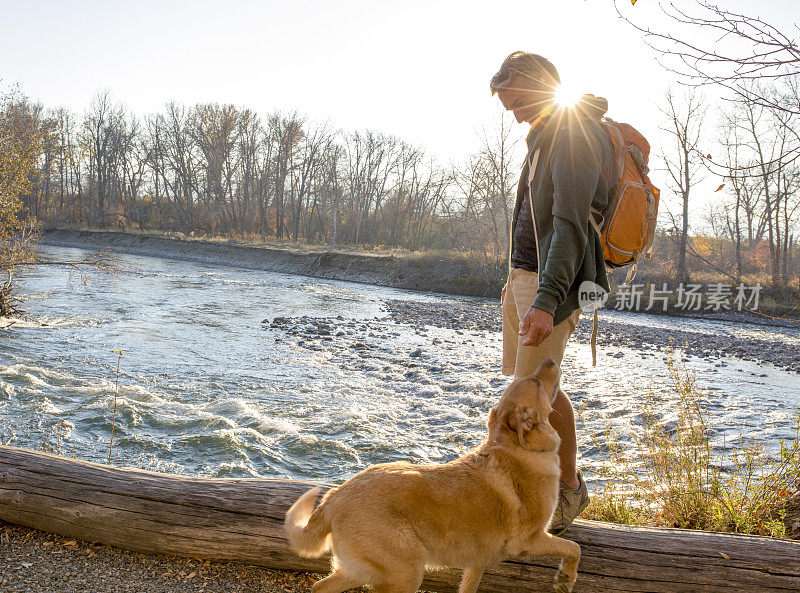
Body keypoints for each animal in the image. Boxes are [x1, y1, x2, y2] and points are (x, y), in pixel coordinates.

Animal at [284, 356, 580, 592]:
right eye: (537, 382)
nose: (550, 360)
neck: (515, 446)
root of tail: (334, 497)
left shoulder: (478, 563)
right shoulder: (531, 540)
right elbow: (574, 549)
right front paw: (566, 579)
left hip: (365, 569)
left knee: (320, 586)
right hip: (405, 573)